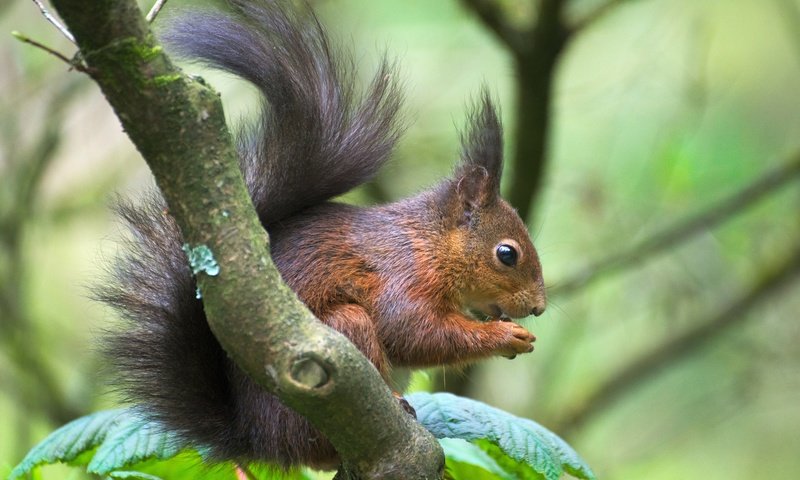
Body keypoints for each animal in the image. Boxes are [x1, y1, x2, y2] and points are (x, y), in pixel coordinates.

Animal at [98, 0, 544, 472]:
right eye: (507, 254)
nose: (538, 307)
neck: (431, 243)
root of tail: (261, 441)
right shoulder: (402, 275)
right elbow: (414, 331)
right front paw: (507, 337)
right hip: (340, 339)